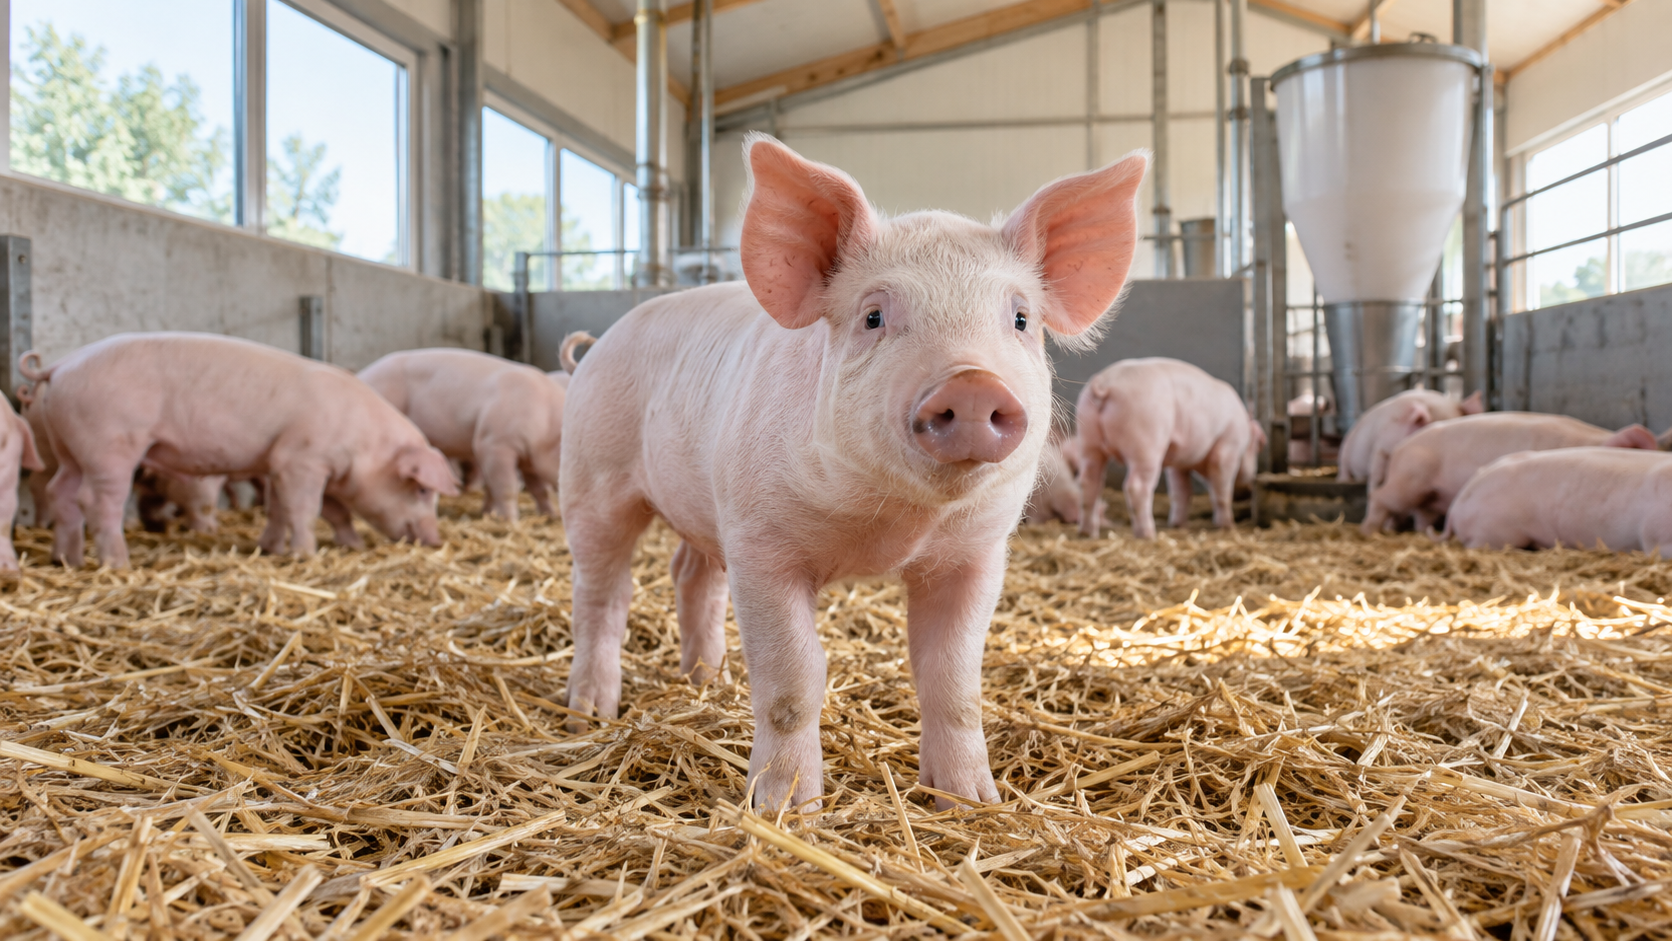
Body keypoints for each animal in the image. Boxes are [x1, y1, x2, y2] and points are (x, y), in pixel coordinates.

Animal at [20, 333, 458, 568]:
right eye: (422, 489)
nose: (437, 540)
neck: (363, 443)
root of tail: (58, 367)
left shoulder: (276, 463)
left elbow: (279, 509)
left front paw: (271, 549)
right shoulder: (302, 460)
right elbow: (305, 509)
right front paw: (306, 554)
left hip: (69, 448)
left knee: (61, 491)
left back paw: (67, 560)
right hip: (109, 442)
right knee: (96, 499)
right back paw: (118, 562)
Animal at [359, 348, 566, 522]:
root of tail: (363, 375)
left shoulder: (528, 461)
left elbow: (539, 490)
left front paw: (550, 515)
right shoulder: (494, 444)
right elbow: (506, 487)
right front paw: (511, 521)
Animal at [560, 136, 1148, 810]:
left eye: (1021, 319)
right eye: (874, 316)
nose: (972, 383)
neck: (892, 527)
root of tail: (597, 346)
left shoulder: (977, 553)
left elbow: (953, 679)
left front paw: (972, 803)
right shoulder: (761, 544)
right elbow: (793, 678)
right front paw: (786, 810)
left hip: (704, 504)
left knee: (691, 573)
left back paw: (708, 681)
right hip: (592, 479)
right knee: (604, 591)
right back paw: (591, 712)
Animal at [1074, 358, 1265, 540]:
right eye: (1257, 447)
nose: (1250, 485)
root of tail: (1105, 383)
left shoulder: (1179, 463)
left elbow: (1182, 492)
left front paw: (1179, 525)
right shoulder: (1228, 448)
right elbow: (1222, 491)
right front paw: (1228, 526)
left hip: (1087, 439)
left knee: (1089, 481)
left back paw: (1087, 533)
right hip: (1146, 441)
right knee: (1136, 486)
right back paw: (1148, 535)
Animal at [1361, 412, 1658, 534]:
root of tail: (1399, 449)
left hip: (1429, 494)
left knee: (1423, 516)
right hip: (1409, 479)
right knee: (1381, 498)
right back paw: (1370, 531)